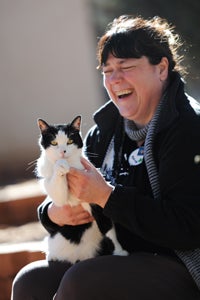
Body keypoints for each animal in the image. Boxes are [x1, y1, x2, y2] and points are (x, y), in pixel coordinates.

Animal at [36, 115, 127, 262]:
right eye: (54, 143)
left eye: (70, 141)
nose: (63, 152)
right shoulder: (57, 195)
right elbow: (58, 190)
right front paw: (61, 165)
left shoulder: (97, 204)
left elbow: (109, 230)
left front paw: (120, 252)